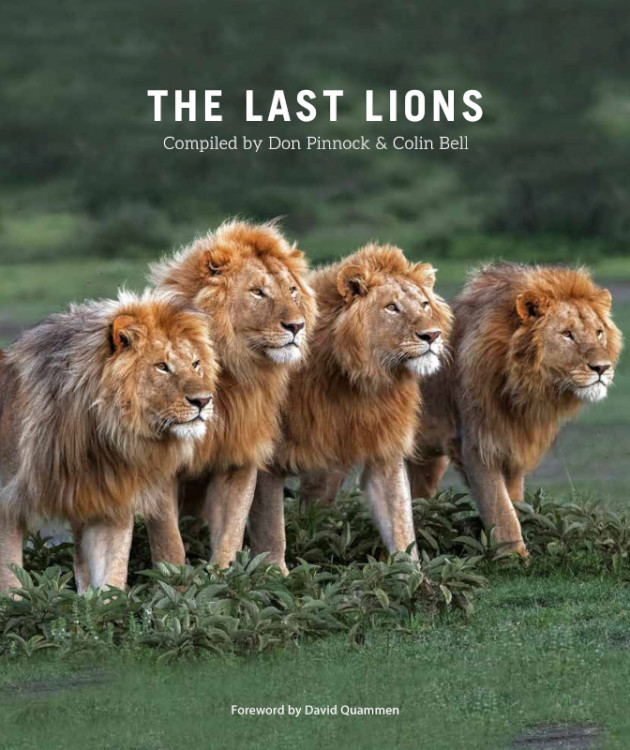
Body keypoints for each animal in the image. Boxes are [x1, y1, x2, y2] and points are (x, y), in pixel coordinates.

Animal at [0, 291, 218, 592]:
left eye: (196, 364)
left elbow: (110, 578)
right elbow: (10, 582)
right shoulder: (6, 505)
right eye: (162, 367)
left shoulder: (108, 502)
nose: (204, 401)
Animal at [144, 220, 317, 568]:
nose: (297, 326)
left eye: (292, 290)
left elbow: (231, 532)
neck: (231, 372)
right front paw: (174, 580)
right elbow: (168, 540)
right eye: (257, 291)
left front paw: (223, 577)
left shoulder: (238, 456)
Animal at [246, 243, 453, 572]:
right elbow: (270, 525)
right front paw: (274, 572)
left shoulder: (383, 447)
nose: (432, 335)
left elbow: (400, 519)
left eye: (423, 304)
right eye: (391, 308)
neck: (358, 381)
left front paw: (411, 575)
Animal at [407, 262, 623, 556]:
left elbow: (515, 502)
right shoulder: (477, 444)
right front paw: (514, 557)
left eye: (599, 332)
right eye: (567, 334)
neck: (525, 388)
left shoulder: (515, 443)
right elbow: (500, 508)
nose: (602, 368)